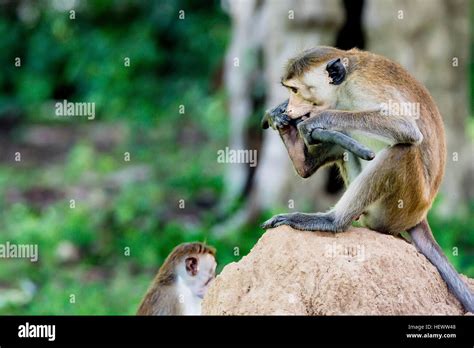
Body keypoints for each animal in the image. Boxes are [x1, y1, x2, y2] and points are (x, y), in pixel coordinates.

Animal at [262, 47, 474, 312]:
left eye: (295, 90)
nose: (290, 107)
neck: (345, 83)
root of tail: (421, 215)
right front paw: (280, 117)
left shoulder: (363, 87)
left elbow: (406, 128)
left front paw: (314, 121)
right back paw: (303, 161)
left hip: (402, 206)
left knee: (402, 149)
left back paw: (333, 221)